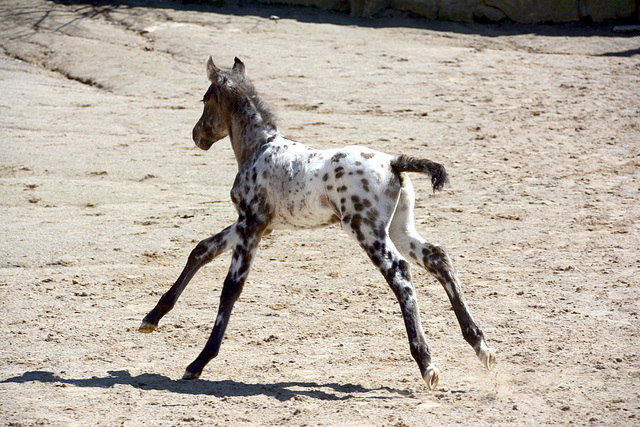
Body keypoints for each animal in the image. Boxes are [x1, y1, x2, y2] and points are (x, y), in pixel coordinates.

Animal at [140, 57, 496, 392]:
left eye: (205, 99)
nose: (197, 135)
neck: (260, 147)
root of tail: (394, 162)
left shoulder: (252, 224)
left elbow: (231, 288)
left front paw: (199, 362)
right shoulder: (253, 223)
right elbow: (202, 250)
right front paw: (151, 318)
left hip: (366, 230)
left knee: (400, 274)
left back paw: (427, 363)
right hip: (399, 228)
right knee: (438, 258)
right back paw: (480, 345)